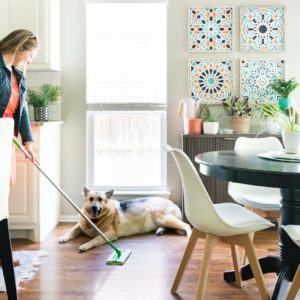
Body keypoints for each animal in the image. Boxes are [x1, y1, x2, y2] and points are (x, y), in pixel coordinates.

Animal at [58, 186, 191, 252]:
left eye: (100, 199)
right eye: (91, 199)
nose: (94, 207)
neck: (94, 221)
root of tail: (173, 203)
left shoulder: (109, 234)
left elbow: (94, 239)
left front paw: (85, 245)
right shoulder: (79, 226)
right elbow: (71, 230)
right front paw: (63, 237)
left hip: (163, 217)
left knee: (186, 225)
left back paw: (188, 234)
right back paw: (160, 230)